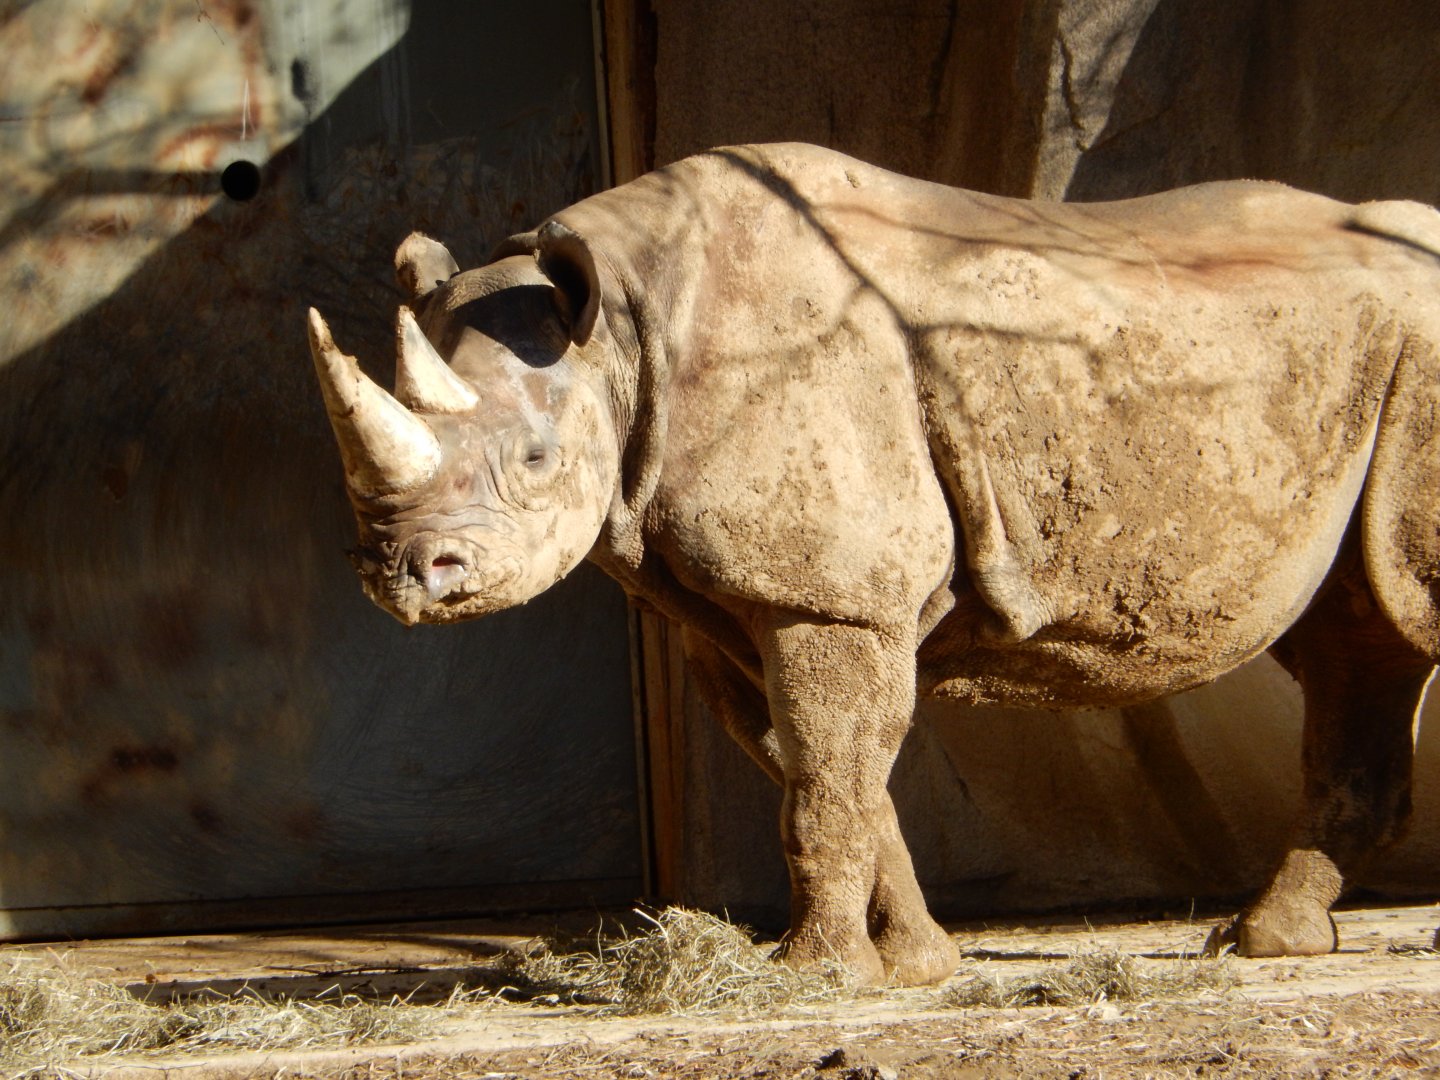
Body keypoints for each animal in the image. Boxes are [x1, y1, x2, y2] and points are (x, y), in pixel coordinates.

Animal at [308, 143, 1440, 986]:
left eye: (538, 463)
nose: (403, 573)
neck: (619, 334)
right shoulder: (741, 609)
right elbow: (830, 775)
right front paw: (918, 966)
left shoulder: (826, 596)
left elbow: (825, 778)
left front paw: (816, 976)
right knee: (1357, 638)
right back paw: (1266, 941)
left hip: (1416, 358)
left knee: (1397, 623)